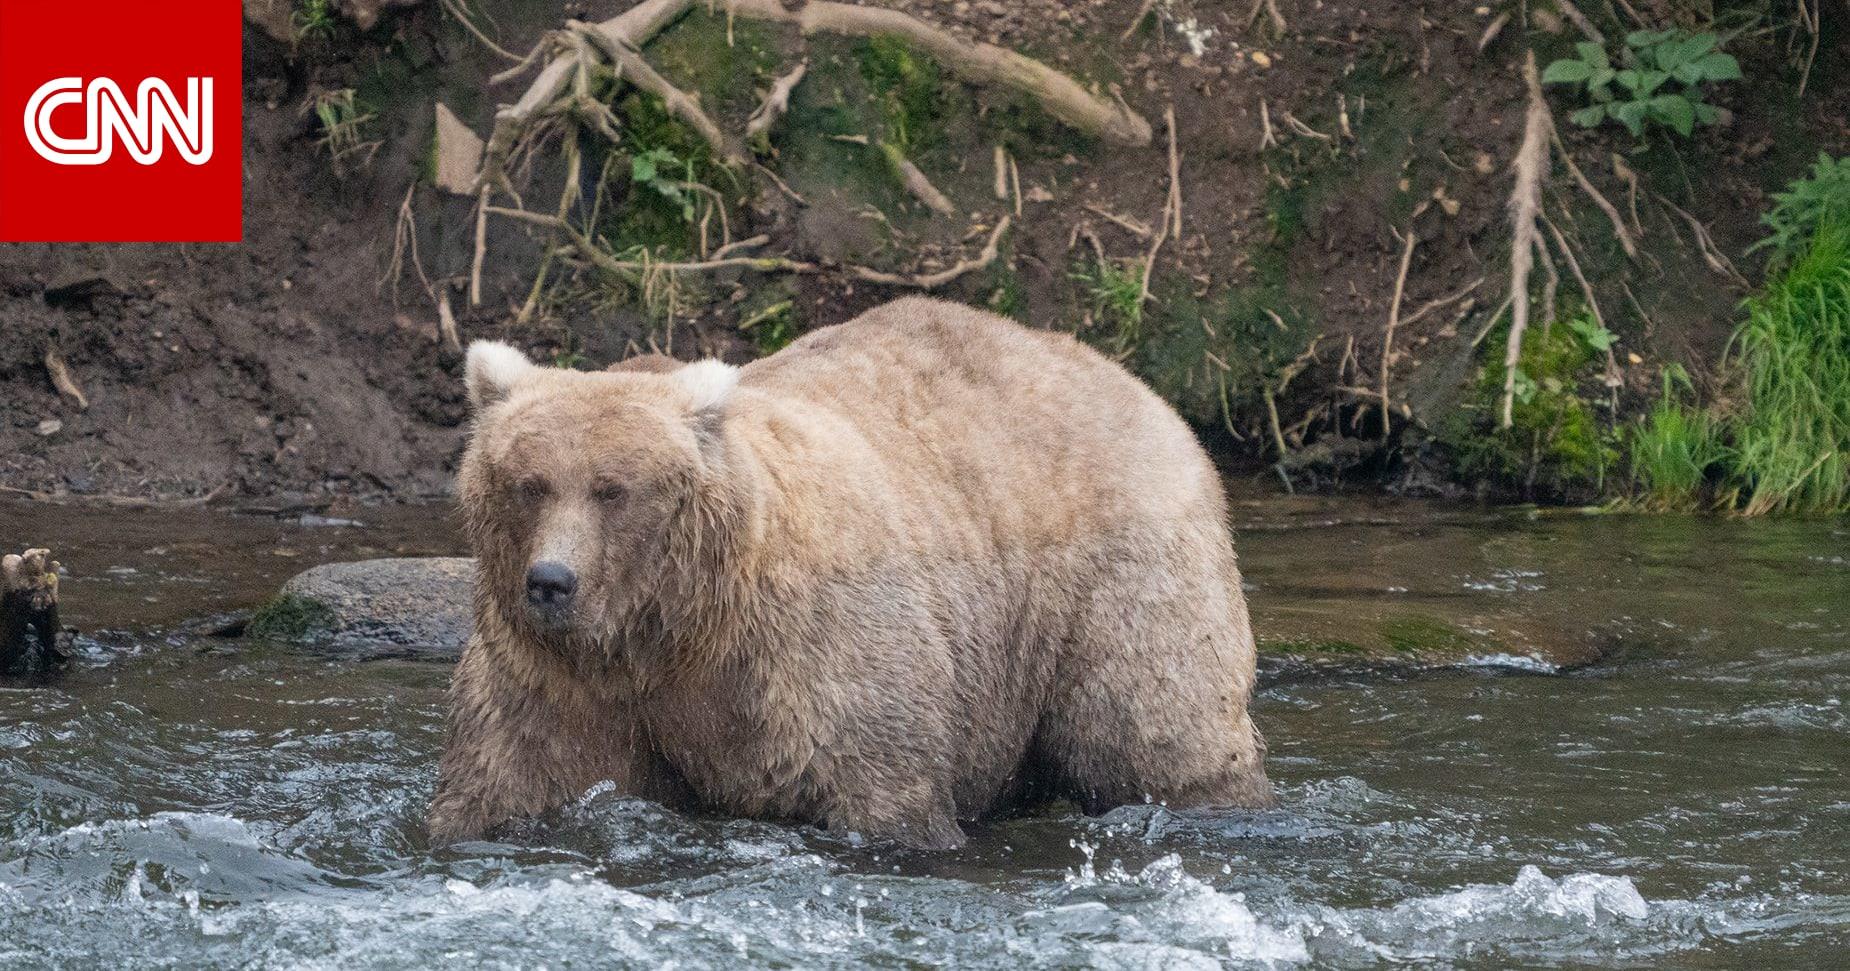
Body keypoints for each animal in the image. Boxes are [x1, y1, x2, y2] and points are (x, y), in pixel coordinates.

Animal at [431, 297, 1272, 847]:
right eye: (529, 482)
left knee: (1152, 727)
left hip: (1116, 574)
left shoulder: (810, 652)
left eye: (612, 488)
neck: (674, 627)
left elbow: (878, 782)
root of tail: (1134, 383)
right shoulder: (558, 677)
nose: (551, 581)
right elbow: (512, 777)